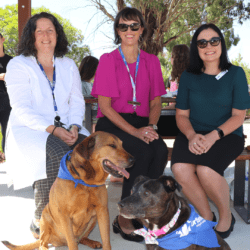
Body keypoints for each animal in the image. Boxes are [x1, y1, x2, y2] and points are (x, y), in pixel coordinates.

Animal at [2, 132, 135, 249]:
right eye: (112, 145)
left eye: (122, 145)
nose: (133, 159)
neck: (85, 182)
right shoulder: (65, 215)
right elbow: (72, 244)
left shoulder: (102, 210)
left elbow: (106, 239)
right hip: (46, 218)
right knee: (42, 243)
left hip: (93, 218)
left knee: (81, 238)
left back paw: (91, 242)